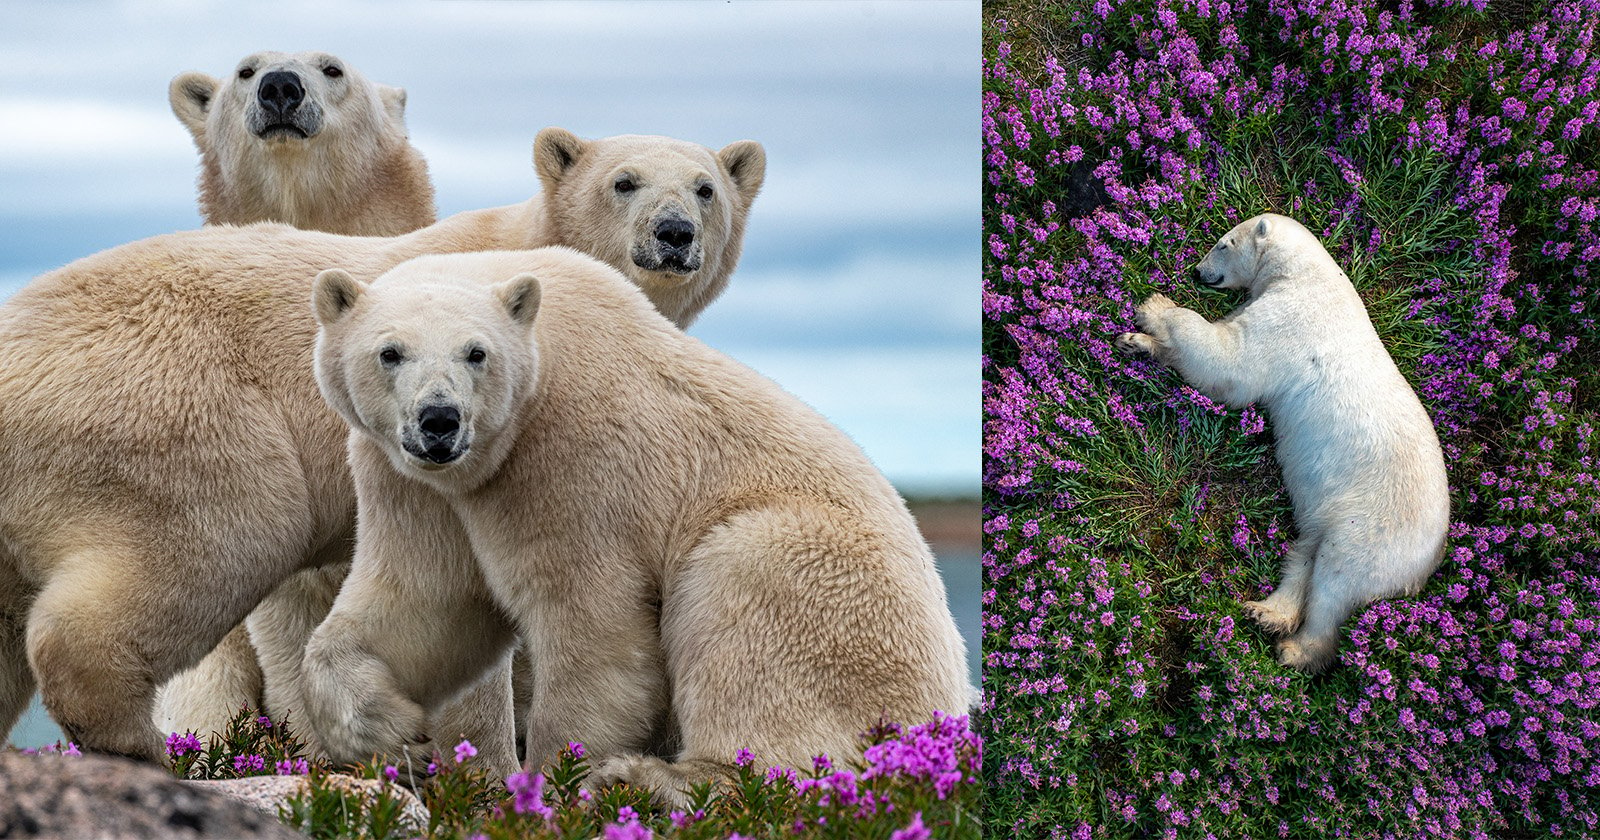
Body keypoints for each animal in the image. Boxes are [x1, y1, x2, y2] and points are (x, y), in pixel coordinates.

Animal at [0, 128, 764, 761]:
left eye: (705, 187)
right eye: (623, 181)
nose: (674, 232)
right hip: (178, 414)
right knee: (218, 536)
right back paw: (138, 741)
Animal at [305, 248, 966, 806]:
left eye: (477, 352)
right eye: (390, 352)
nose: (439, 419)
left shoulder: (574, 458)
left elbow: (594, 627)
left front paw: (551, 782)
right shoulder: (410, 480)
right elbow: (425, 598)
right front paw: (390, 732)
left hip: (820, 576)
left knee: (748, 609)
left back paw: (654, 778)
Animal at [1113, 212, 1452, 672]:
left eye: (1223, 243)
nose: (1197, 272)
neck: (1306, 274)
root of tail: (1431, 561)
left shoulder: (1291, 319)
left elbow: (1230, 360)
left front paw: (1154, 307)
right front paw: (1135, 342)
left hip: (1376, 527)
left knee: (1337, 580)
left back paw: (1297, 649)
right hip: (1336, 515)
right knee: (1305, 552)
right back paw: (1266, 611)